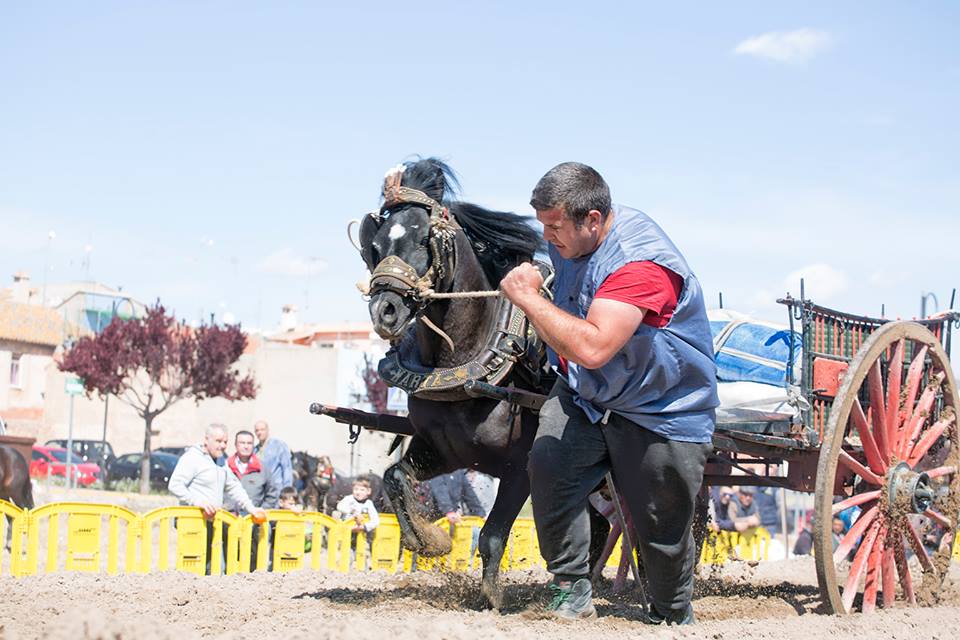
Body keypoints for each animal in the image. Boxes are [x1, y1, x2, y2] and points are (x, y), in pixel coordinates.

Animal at [356, 158, 551, 608]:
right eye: (376, 245)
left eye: (422, 239)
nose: (385, 311)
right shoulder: (445, 451)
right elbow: (394, 477)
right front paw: (430, 541)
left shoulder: (521, 468)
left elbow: (493, 535)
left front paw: (493, 598)